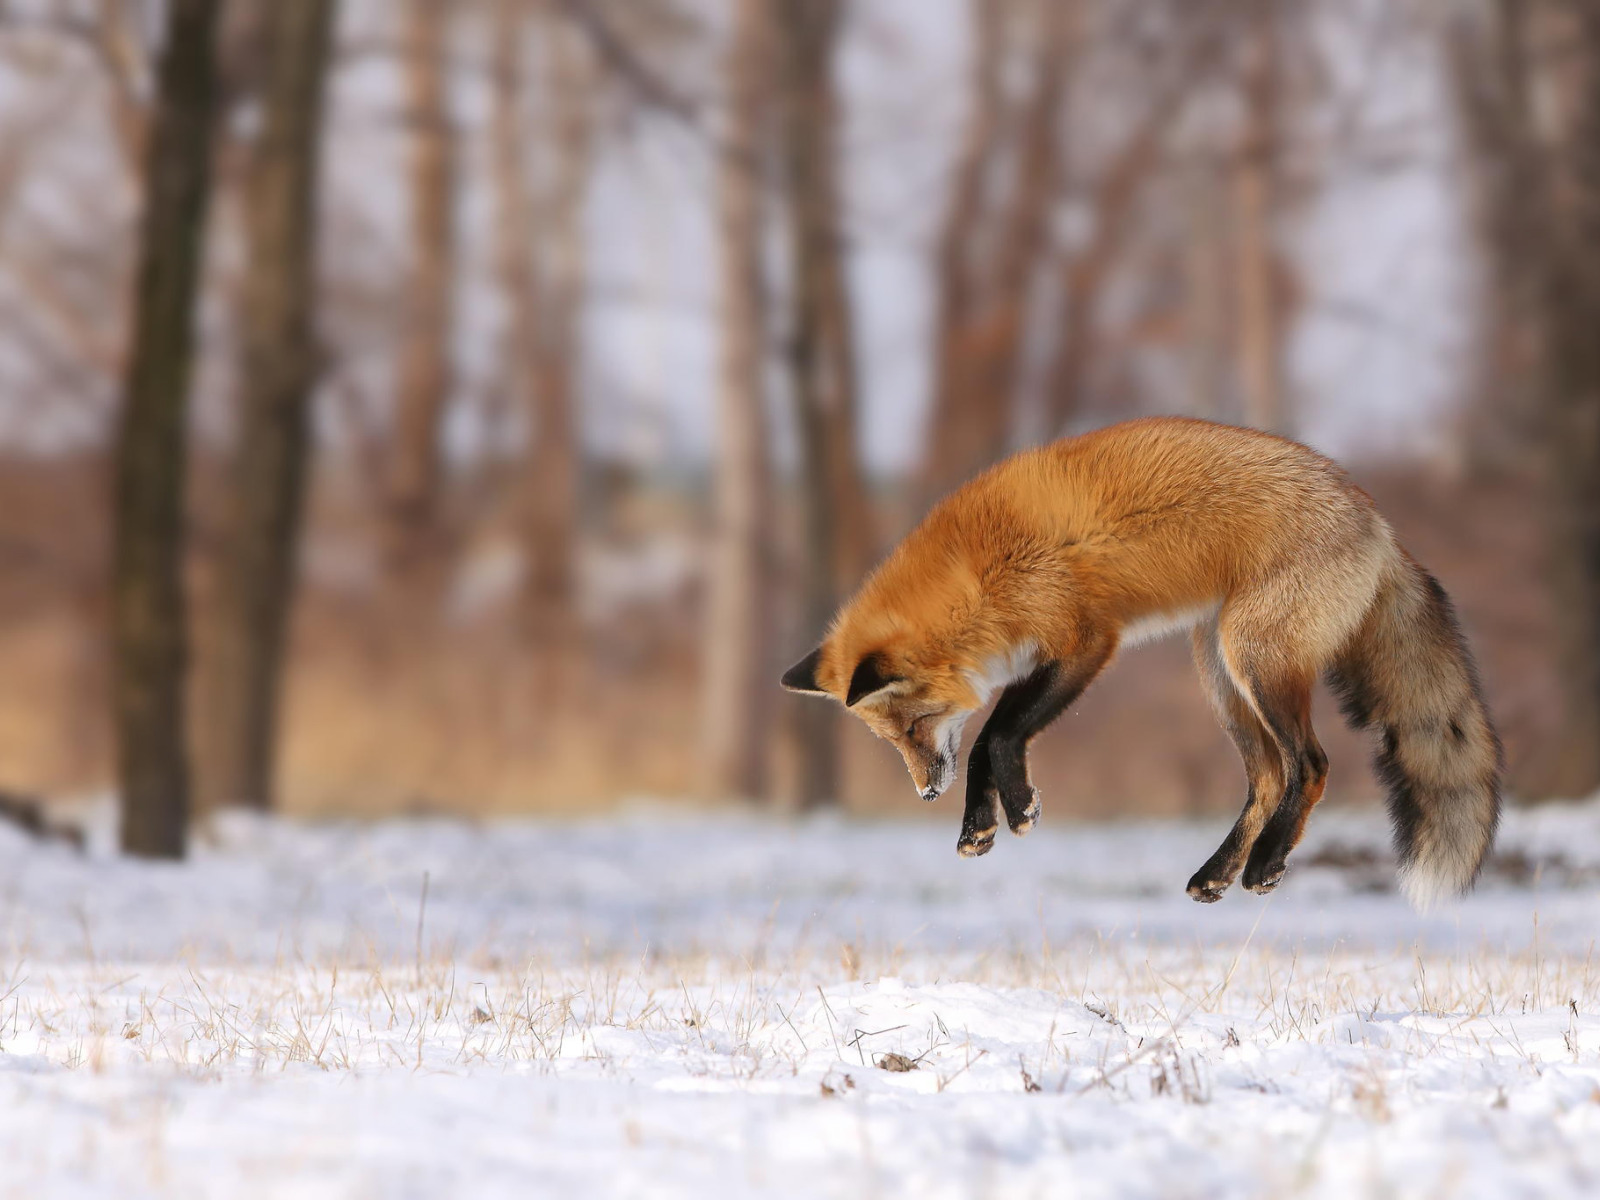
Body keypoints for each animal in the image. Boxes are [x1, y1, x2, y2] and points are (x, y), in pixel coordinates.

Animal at [784, 419, 1497, 908]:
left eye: (911, 728)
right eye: (891, 740)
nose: (924, 793)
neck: (977, 573)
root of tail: (1376, 517)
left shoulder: (1085, 642)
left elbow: (997, 735)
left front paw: (1015, 809)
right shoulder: (1045, 654)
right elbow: (987, 741)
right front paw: (979, 826)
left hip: (1255, 660)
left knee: (1312, 765)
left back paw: (1265, 863)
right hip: (1220, 675)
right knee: (1269, 778)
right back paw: (1217, 874)